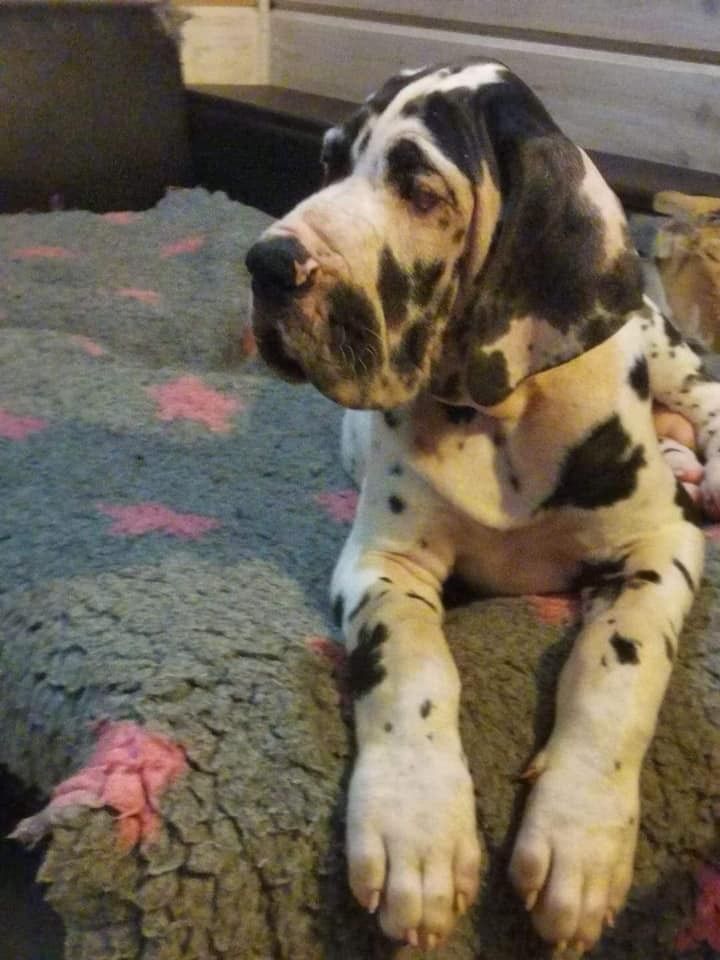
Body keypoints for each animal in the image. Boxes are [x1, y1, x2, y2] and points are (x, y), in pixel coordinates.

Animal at [245, 60, 720, 954]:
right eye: (329, 161)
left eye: (419, 187)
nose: (266, 262)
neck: (500, 415)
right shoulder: (383, 563)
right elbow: (409, 665)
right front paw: (415, 829)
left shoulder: (661, 544)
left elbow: (618, 666)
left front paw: (580, 833)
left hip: (671, 351)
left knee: (704, 398)